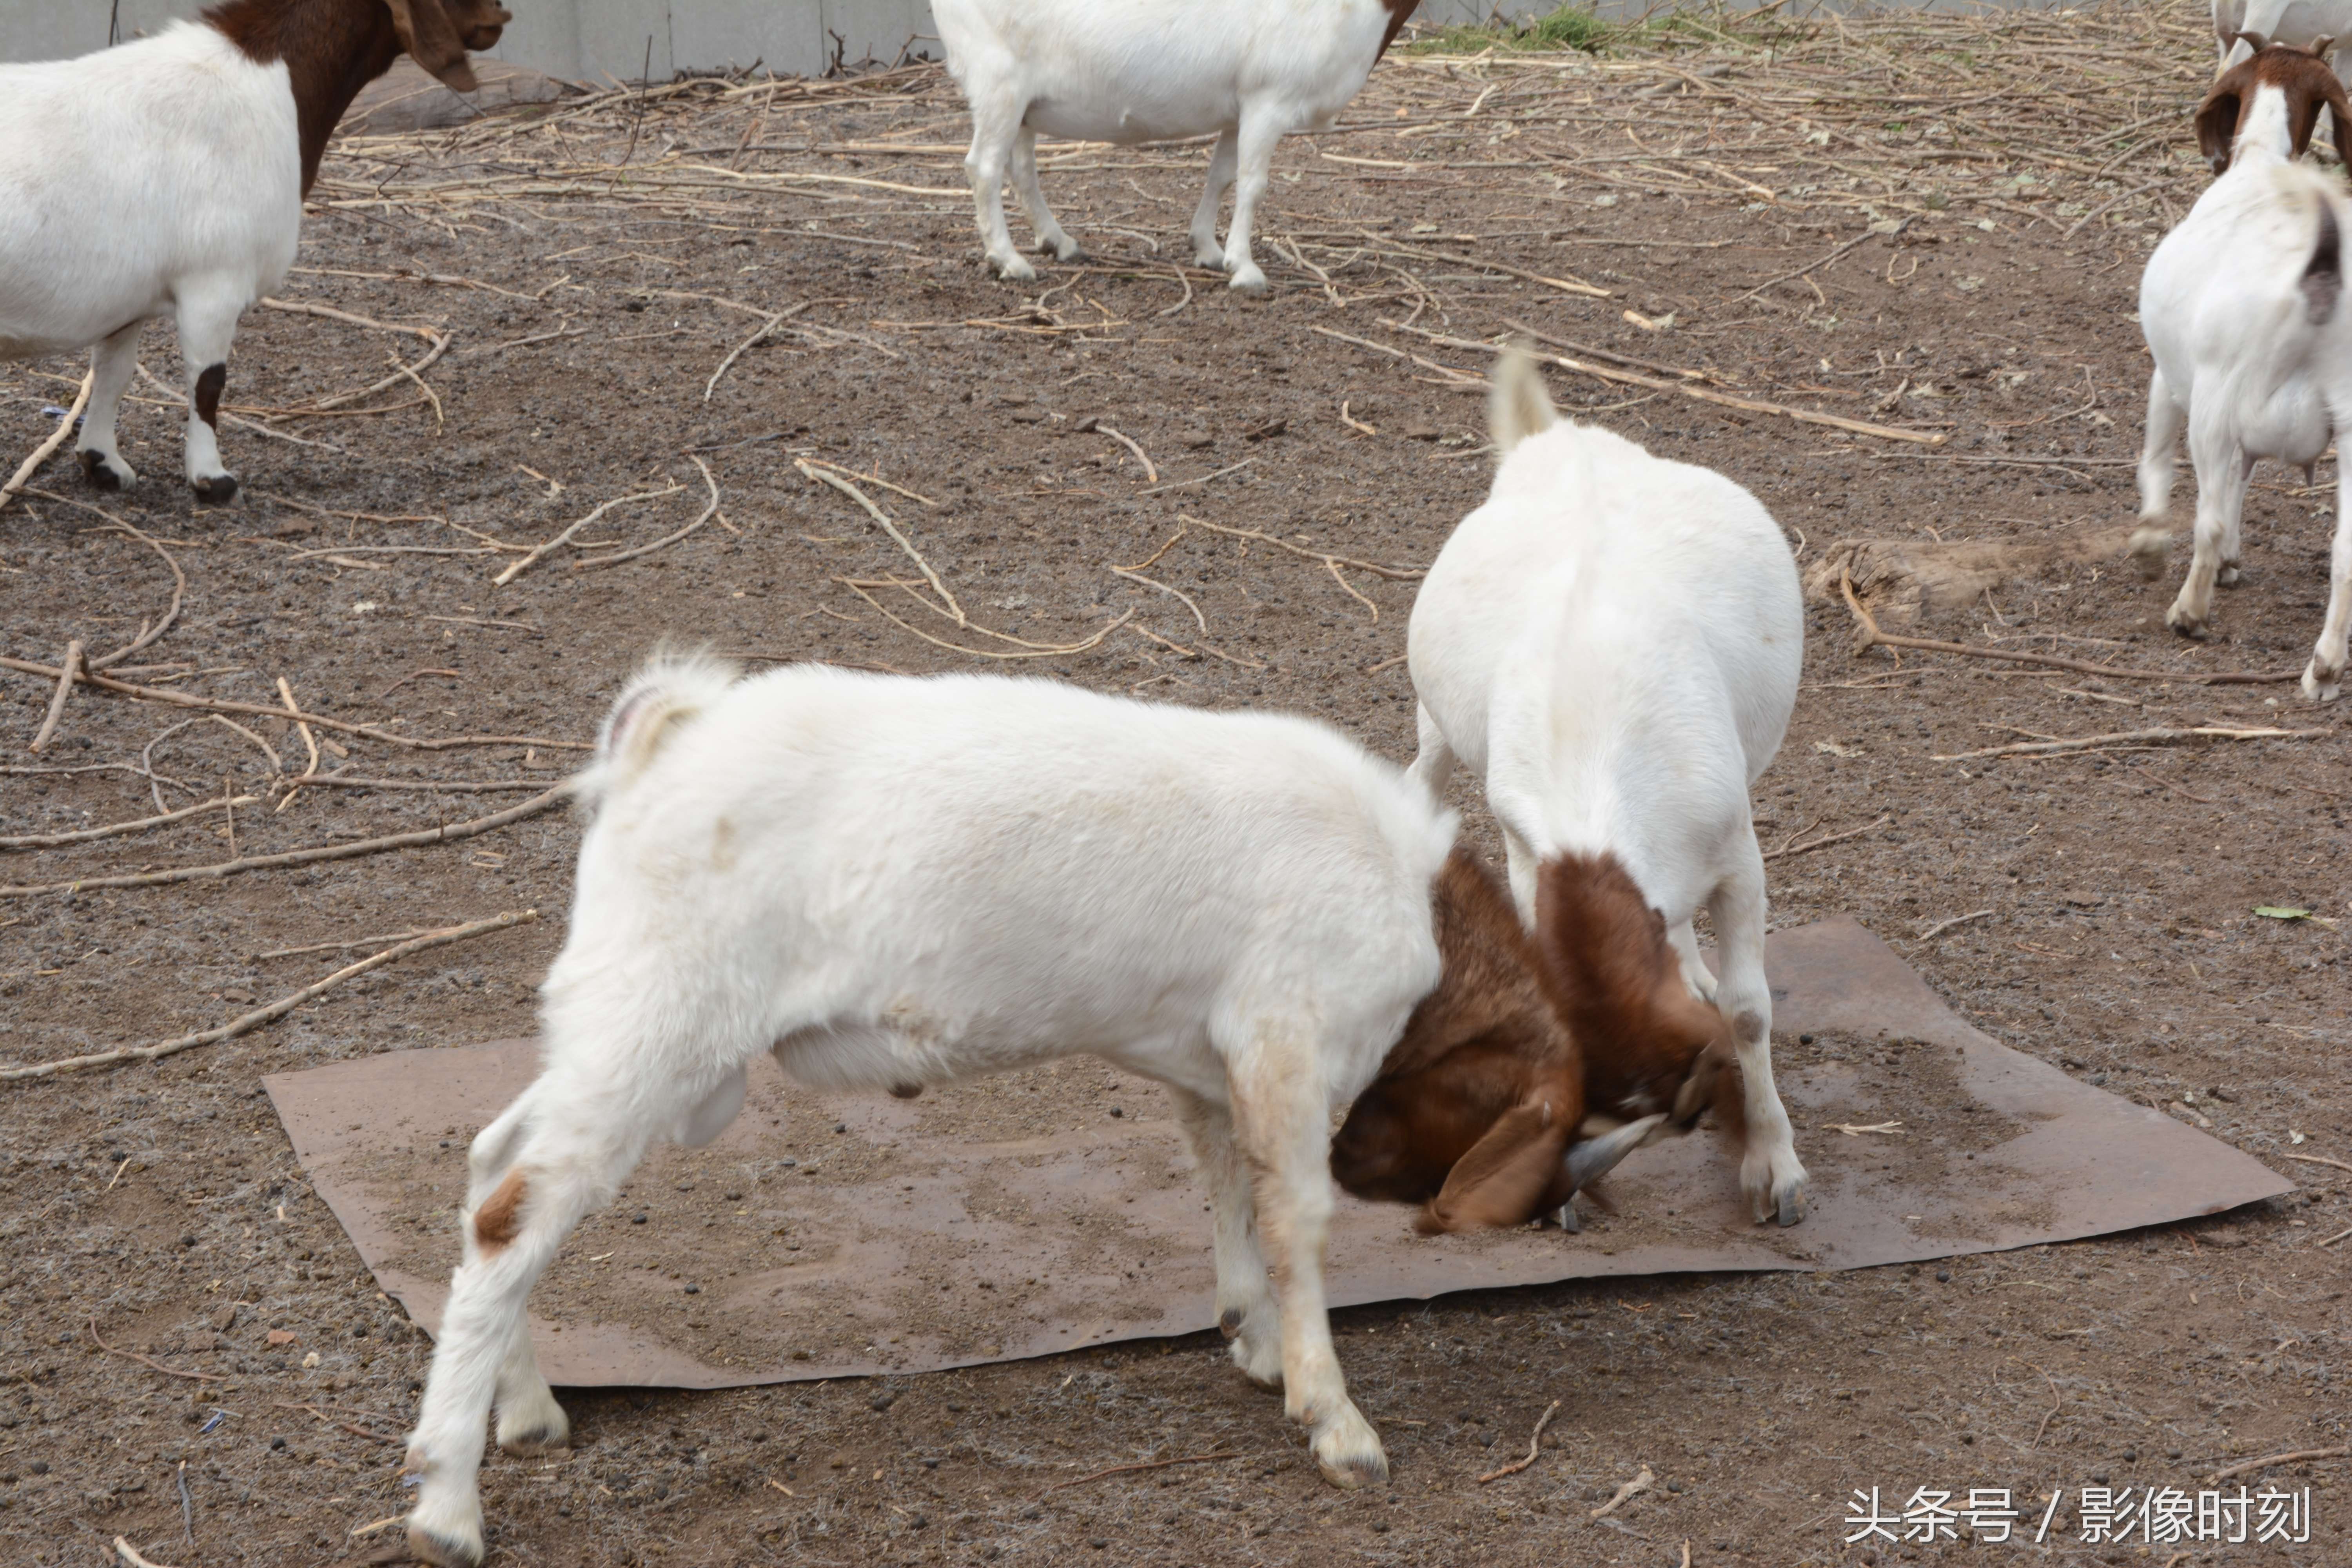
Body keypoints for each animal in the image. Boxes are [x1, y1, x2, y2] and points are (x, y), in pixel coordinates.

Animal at [0, 0, 510, 503]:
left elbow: (113, 373)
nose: (501, 15)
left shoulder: (126, 299)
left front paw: (103, 463)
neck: (268, 81)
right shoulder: (215, 282)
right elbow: (208, 383)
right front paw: (212, 480)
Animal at [395, 658, 1703, 1561]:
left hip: (615, 1022)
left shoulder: (1208, 1058)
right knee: (516, 1212)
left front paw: (1253, 1341)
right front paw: (1335, 1420)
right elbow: (1296, 1218)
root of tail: (668, 736)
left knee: (491, 1168)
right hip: (658, 1025)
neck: (1414, 906)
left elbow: (1229, 1189)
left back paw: (524, 1412)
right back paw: (447, 1504)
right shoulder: (1286, 1041)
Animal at [931, 0, 1411, 292]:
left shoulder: (1240, 109)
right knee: (984, 167)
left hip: (1023, 103)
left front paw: (1209, 250)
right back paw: (1009, 261)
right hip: (999, 81)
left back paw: (1059, 242)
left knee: (1020, 167)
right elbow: (1254, 185)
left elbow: (1222, 177)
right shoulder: (1269, 100)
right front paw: (1245, 268)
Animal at [1392, 350, 1816, 1232]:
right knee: (1422, 775)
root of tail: (1562, 441)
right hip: (1437, 716)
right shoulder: (1527, 855)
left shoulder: (1739, 853)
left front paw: (1776, 1169)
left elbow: (1749, 1007)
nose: (1560, 1190)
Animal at [2136, 35, 2352, 701]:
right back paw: (2323, 669)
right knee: (2346, 551)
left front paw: (2149, 543)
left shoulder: (2172, 377)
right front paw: (2234, 560)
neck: (2261, 164)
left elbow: (2159, 459)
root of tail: (2318, 278)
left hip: (2212, 400)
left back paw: (2188, 613)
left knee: (2203, 516)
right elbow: (2242, 479)